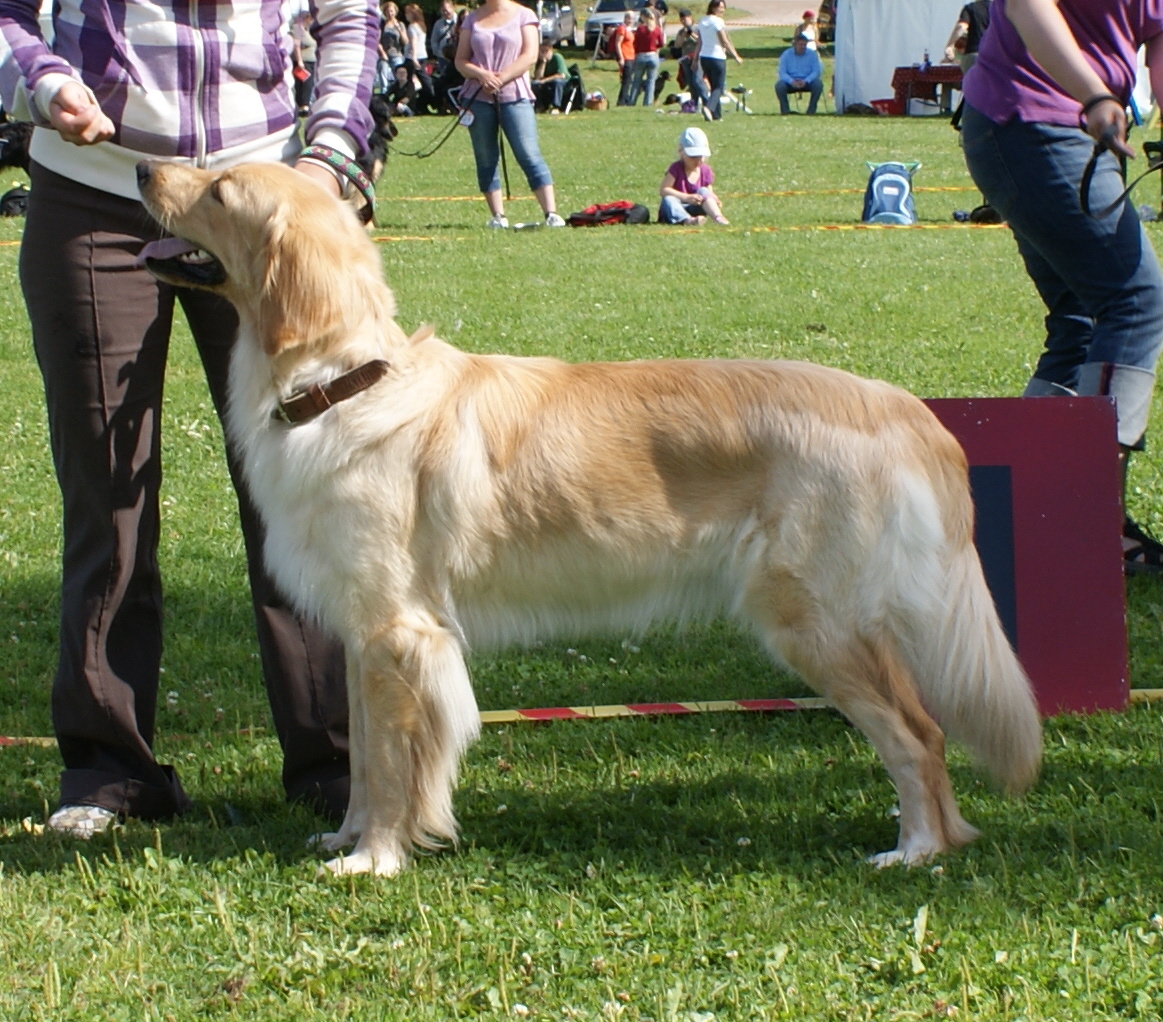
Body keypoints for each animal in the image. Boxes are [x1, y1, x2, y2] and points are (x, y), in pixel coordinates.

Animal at [136, 161, 1046, 878]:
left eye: (218, 190)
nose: (139, 168)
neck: (342, 384)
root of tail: (903, 408)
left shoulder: (400, 631)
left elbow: (395, 765)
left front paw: (377, 858)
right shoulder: (365, 637)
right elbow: (364, 758)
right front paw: (349, 837)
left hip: (813, 623)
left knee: (918, 735)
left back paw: (915, 851)